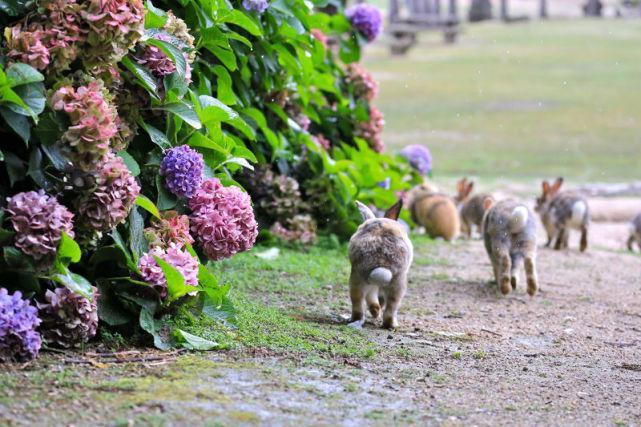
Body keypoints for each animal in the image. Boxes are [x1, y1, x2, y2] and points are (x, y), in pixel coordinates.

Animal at [348, 199, 412, 330]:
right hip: (398, 282)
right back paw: (392, 325)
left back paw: (360, 318)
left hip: (357, 277)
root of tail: (380, 262)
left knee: (358, 301)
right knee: (391, 308)